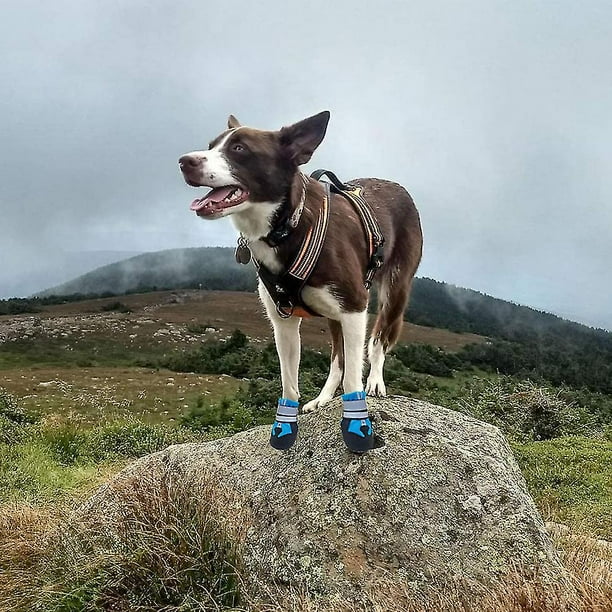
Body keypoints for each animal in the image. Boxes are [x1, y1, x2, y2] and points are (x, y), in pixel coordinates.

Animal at [179, 112, 424, 452]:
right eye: (211, 146)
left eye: (240, 148)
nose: (183, 161)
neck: (287, 227)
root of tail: (397, 186)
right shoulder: (283, 321)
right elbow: (290, 382)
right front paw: (286, 428)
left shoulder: (355, 307)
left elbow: (354, 376)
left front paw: (357, 426)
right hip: (335, 313)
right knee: (337, 358)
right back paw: (323, 398)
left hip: (395, 289)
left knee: (378, 340)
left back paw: (375, 380)